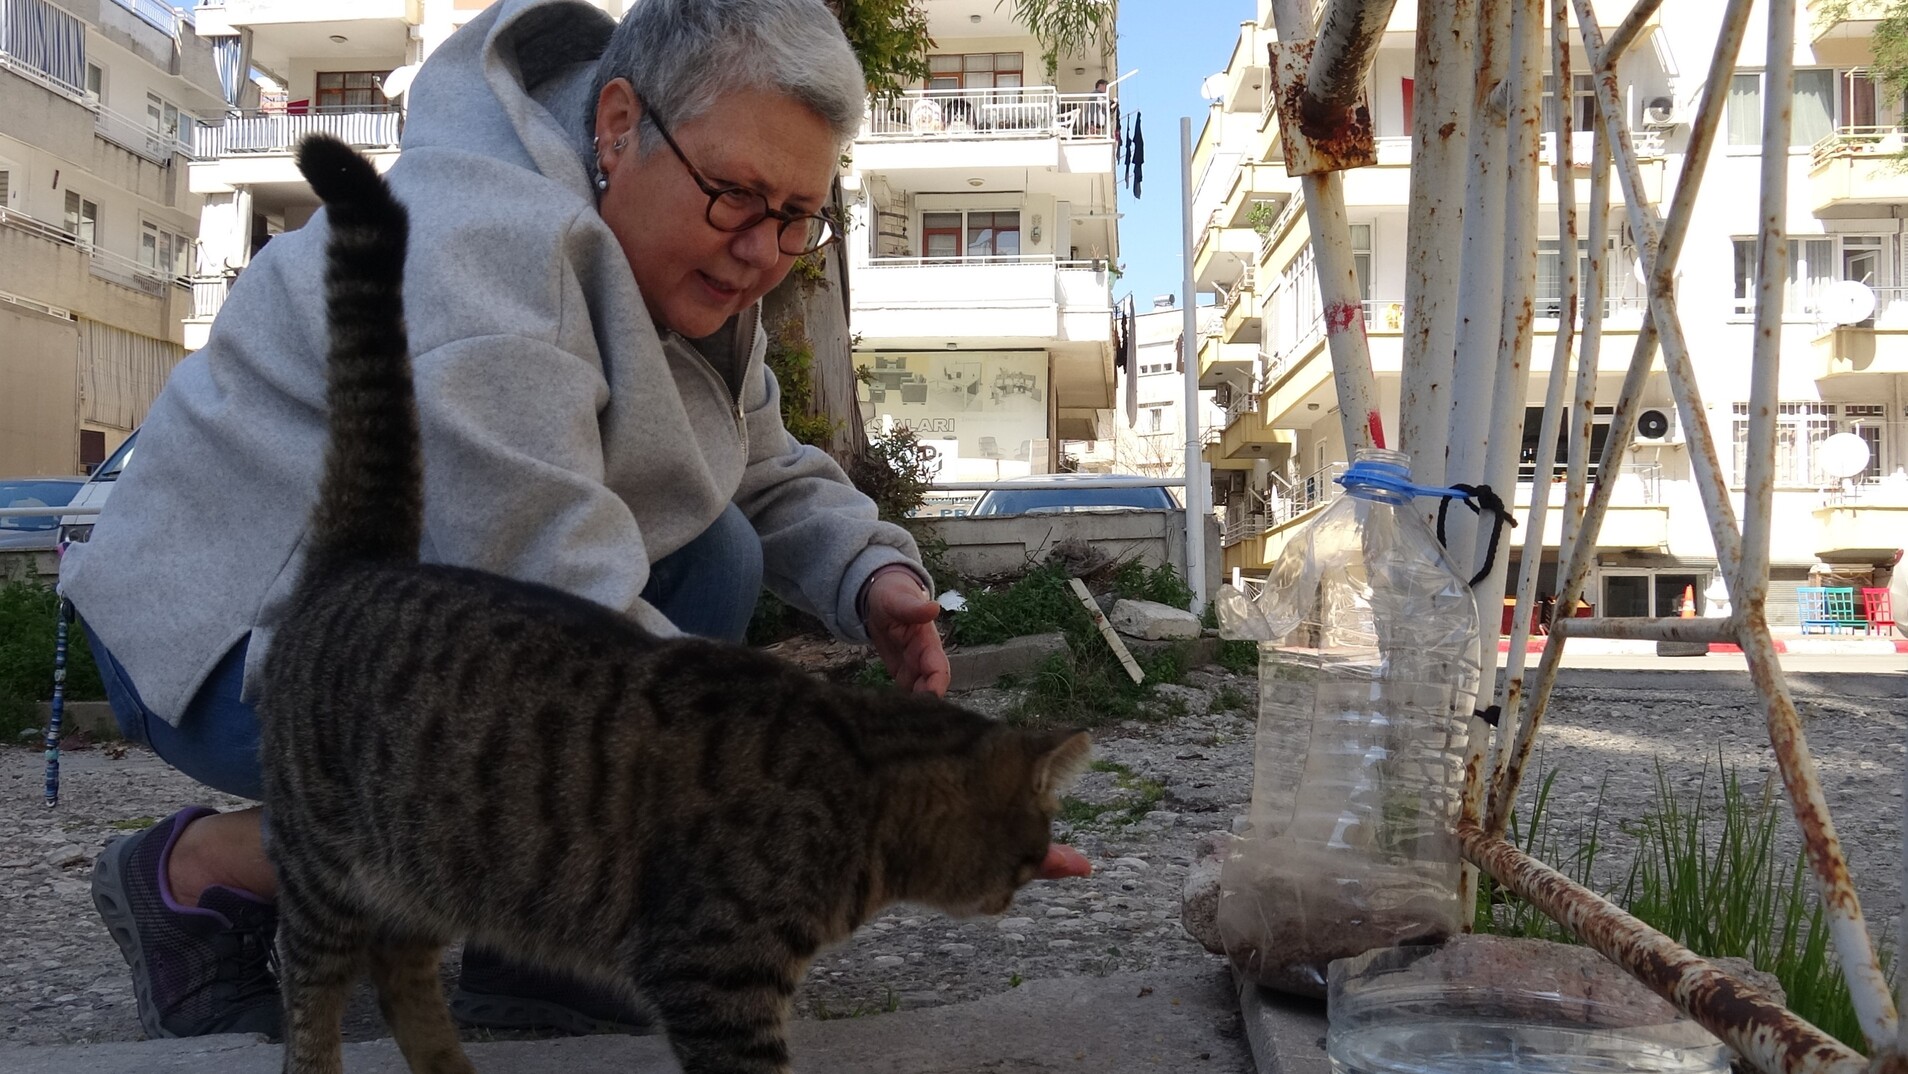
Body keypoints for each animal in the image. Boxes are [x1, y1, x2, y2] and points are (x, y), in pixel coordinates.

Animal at [257, 134, 1091, 1074]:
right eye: (1026, 856)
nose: (1026, 885)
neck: (859, 780)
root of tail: (361, 566)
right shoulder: (714, 972)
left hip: (425, 869)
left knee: (403, 969)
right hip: (326, 866)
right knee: (313, 986)